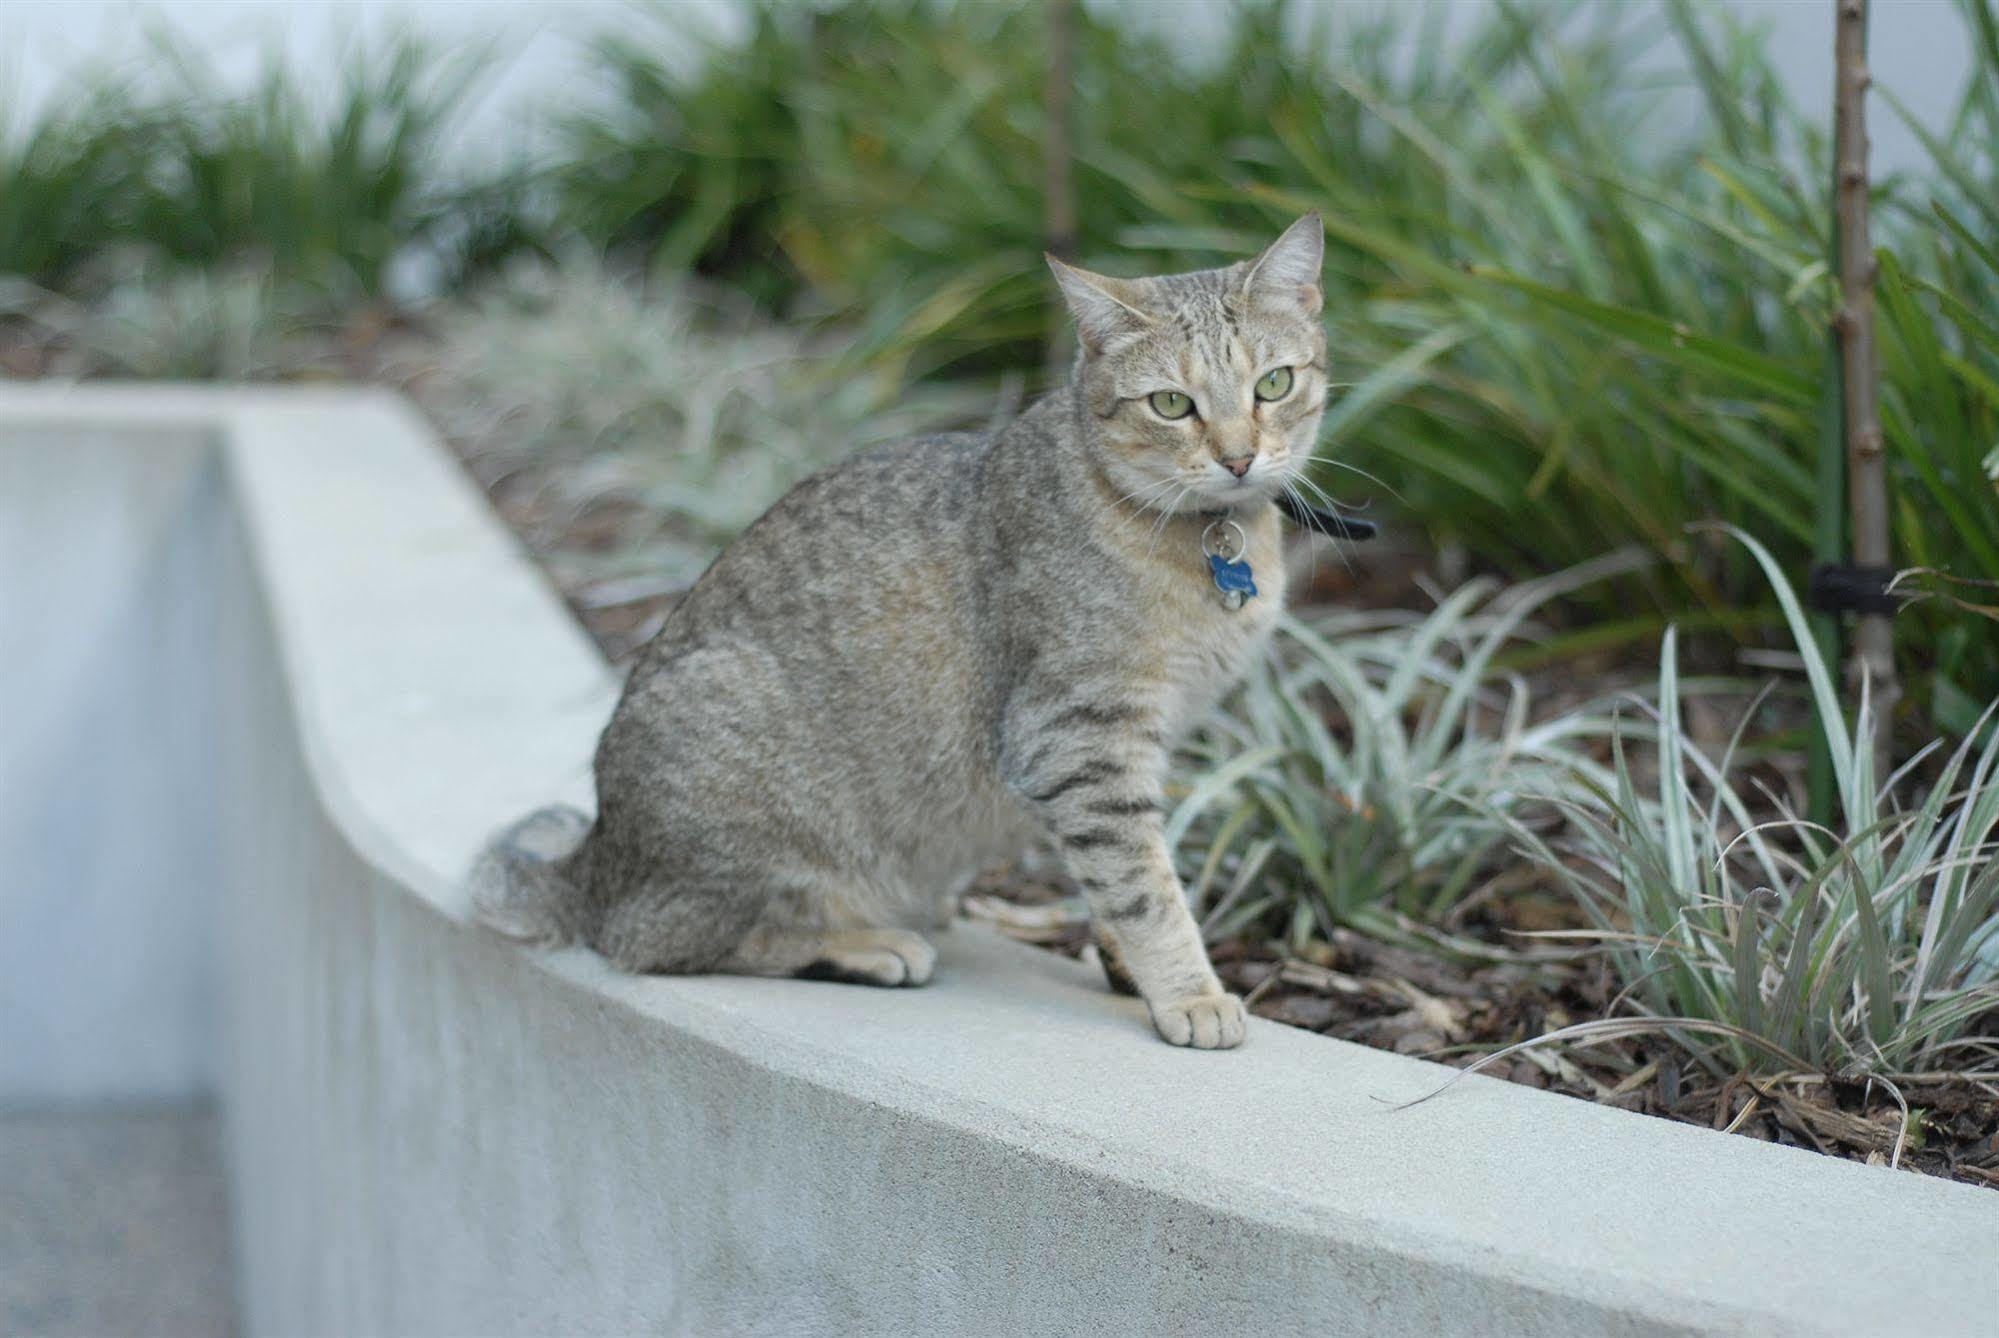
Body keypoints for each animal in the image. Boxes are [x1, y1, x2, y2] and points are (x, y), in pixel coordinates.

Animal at [475, 214, 1335, 1040]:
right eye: (1170, 404)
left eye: (1273, 383)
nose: (1237, 459)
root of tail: (592, 865)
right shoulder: (1076, 737)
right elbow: (1142, 886)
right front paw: (1189, 992)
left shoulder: (1118, 753)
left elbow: (1115, 878)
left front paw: (1131, 972)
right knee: (660, 940)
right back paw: (867, 945)